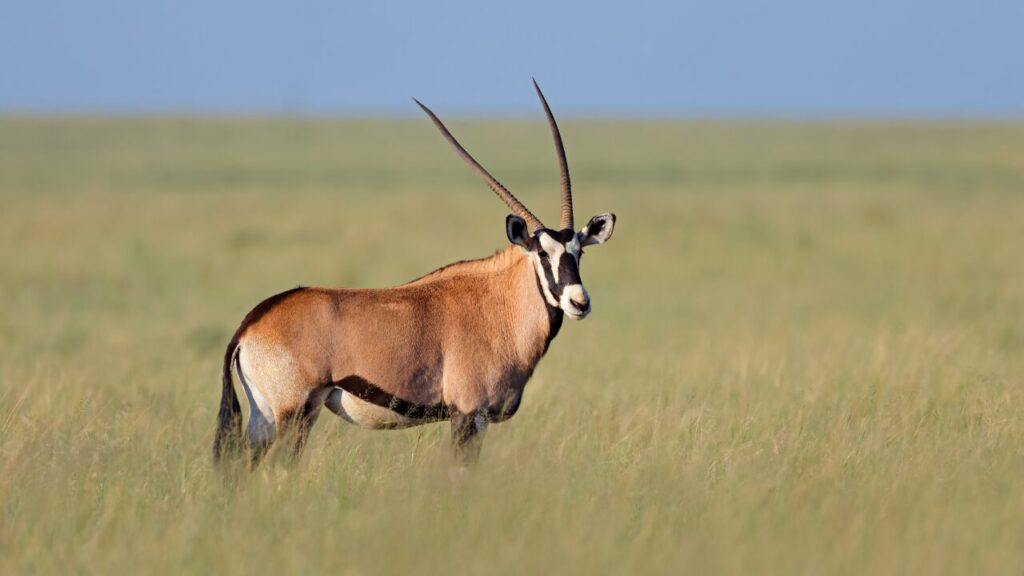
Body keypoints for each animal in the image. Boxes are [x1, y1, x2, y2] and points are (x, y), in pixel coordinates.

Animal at [213, 81, 617, 468]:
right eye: (543, 254)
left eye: (579, 252)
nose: (579, 302)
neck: (499, 304)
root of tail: (252, 323)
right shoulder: (468, 414)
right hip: (296, 412)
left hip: (264, 418)